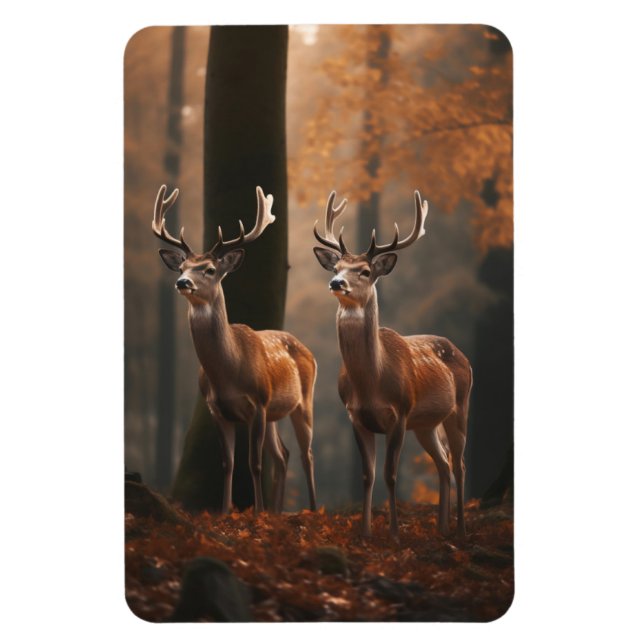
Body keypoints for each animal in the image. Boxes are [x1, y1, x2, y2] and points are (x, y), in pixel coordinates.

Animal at [152, 184, 317, 515]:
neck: (229, 372)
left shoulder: (259, 402)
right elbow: (227, 464)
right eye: (182, 266)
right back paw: (277, 512)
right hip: (276, 413)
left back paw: (313, 508)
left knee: (306, 454)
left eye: (210, 269)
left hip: (302, 400)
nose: (182, 282)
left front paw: (256, 512)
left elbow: (253, 464)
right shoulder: (217, 409)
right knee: (283, 455)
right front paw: (226, 511)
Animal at [312, 190, 472, 540]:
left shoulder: (400, 412)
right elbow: (367, 475)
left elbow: (390, 474)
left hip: (460, 407)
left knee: (459, 464)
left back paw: (461, 528)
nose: (336, 283)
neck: (372, 381)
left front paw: (396, 533)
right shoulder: (355, 416)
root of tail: (462, 353)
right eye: (337, 266)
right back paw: (442, 527)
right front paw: (365, 532)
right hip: (426, 424)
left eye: (365, 271)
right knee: (443, 464)